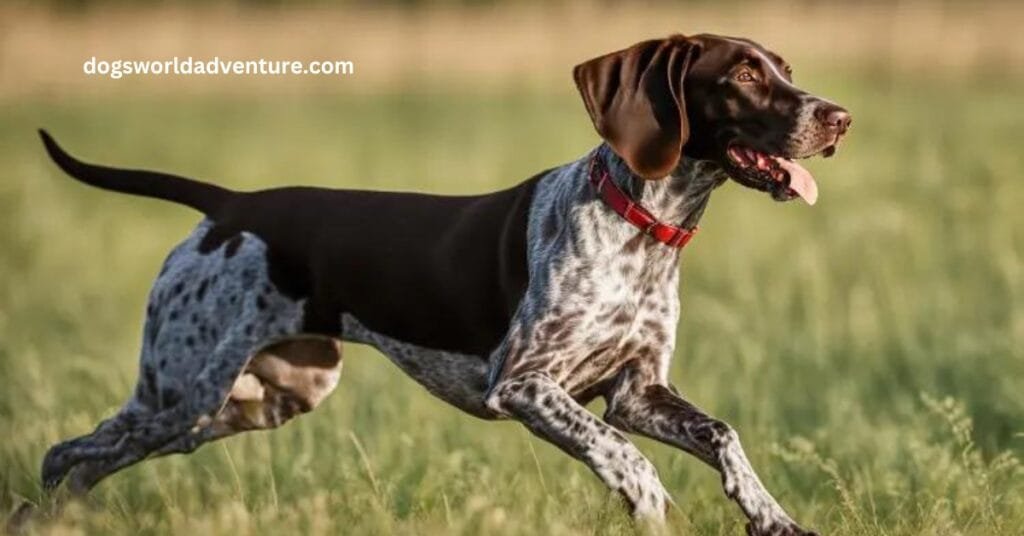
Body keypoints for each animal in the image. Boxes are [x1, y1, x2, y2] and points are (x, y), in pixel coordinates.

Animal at [37, 35, 847, 532]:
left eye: (782, 67)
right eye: (743, 75)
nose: (838, 117)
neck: (644, 227)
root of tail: (230, 205)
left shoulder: (637, 392)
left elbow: (723, 436)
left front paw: (772, 516)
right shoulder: (522, 385)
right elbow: (624, 456)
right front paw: (648, 499)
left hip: (251, 402)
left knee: (89, 461)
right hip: (179, 393)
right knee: (63, 456)